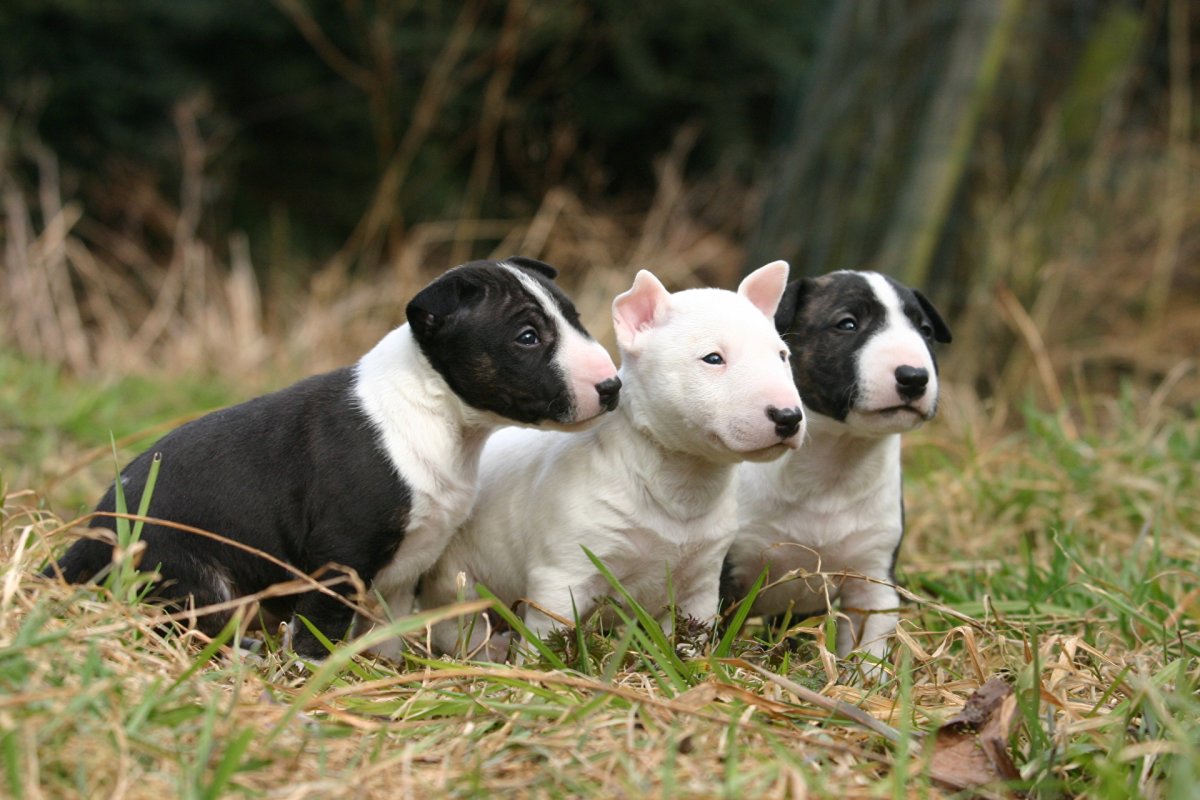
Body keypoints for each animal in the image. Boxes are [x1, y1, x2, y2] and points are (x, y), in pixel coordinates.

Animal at [45, 256, 619, 657]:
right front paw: (308, 674)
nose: (611, 386)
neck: (434, 410)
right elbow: (319, 626)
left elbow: (387, 628)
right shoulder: (339, 556)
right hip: (192, 576)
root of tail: (91, 533)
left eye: (575, 319)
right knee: (195, 626)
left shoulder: (405, 568)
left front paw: (387, 669)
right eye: (527, 336)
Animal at [422, 262, 806, 657]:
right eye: (713, 358)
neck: (679, 482)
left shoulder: (700, 585)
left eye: (782, 355)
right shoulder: (560, 577)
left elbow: (689, 642)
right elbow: (546, 636)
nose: (788, 417)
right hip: (454, 582)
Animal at [715, 272, 950, 666]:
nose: (914, 377)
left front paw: (867, 676)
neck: (835, 462)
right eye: (847, 324)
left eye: (926, 330)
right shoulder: (727, 570)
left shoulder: (873, 576)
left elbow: (869, 646)